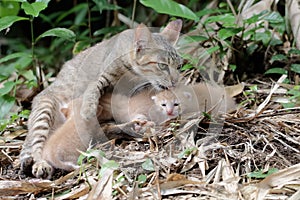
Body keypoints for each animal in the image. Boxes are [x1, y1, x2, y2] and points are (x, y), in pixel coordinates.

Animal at [20, 19, 183, 178]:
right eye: (162, 66)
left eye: (179, 67)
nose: (176, 81)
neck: (132, 76)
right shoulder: (100, 79)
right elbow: (93, 91)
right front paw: (87, 110)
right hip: (45, 109)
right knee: (36, 146)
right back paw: (40, 163)